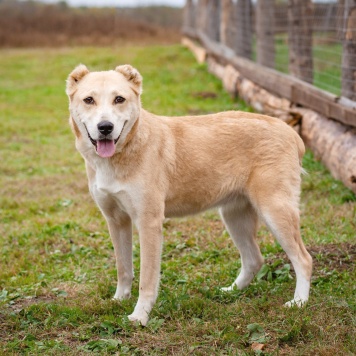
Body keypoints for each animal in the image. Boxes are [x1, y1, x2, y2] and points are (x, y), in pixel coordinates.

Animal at [66, 63, 312, 326]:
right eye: (89, 100)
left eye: (119, 99)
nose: (105, 127)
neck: (123, 152)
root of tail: (290, 132)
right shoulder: (116, 220)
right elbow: (123, 268)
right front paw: (119, 300)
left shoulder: (149, 222)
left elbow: (147, 280)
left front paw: (140, 316)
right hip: (234, 216)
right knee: (254, 259)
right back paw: (231, 292)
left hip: (275, 211)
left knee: (303, 259)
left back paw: (299, 302)